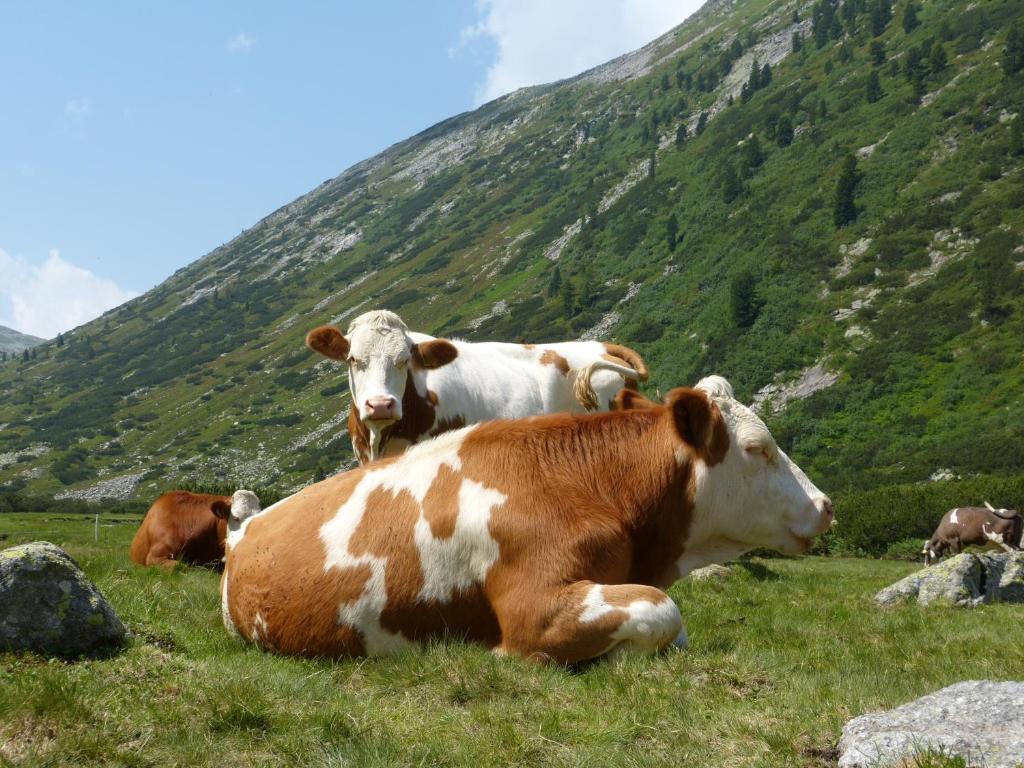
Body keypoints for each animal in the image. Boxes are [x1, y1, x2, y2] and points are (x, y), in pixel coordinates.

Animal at [222, 376, 831, 663]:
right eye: (757, 448)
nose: (825, 504)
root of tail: (245, 526)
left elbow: (670, 624)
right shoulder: (532, 606)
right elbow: (663, 610)